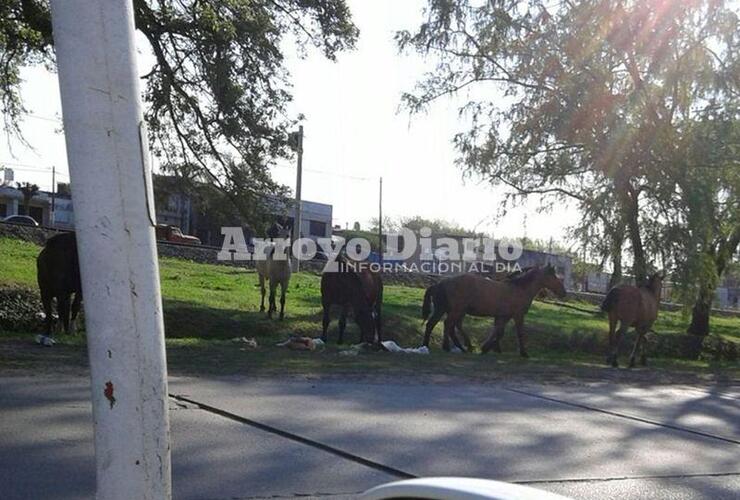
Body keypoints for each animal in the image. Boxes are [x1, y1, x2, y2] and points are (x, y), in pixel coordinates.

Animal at [422, 266, 568, 356]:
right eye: (554, 277)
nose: (564, 292)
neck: (519, 290)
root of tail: (441, 283)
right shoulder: (518, 316)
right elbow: (518, 333)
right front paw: (523, 353)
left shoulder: (503, 316)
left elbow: (498, 332)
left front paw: (491, 348)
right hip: (456, 310)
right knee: (448, 325)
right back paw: (450, 347)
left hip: (444, 310)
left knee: (434, 324)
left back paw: (429, 346)